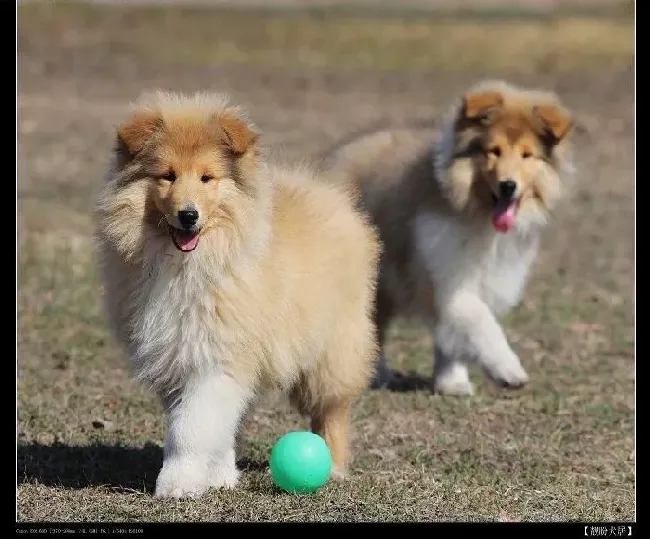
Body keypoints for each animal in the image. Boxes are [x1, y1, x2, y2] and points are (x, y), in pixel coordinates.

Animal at [95, 92, 380, 498]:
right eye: (167, 175)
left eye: (206, 177)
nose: (188, 215)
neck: (191, 262)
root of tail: (329, 195)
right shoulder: (178, 354)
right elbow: (204, 422)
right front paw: (214, 477)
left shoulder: (217, 355)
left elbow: (190, 428)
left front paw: (177, 483)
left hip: (333, 350)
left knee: (332, 409)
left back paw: (336, 466)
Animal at [316, 80, 576, 394]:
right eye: (494, 151)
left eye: (527, 155)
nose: (508, 186)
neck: (475, 211)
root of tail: (337, 155)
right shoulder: (446, 275)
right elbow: (480, 322)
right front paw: (509, 371)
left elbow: (450, 336)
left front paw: (452, 382)